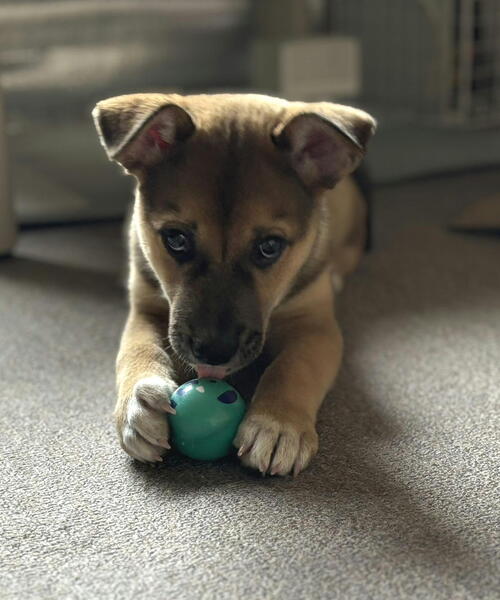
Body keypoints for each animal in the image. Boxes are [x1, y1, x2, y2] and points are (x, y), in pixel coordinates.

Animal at [92, 93, 376, 476]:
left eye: (270, 247)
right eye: (175, 239)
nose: (214, 352)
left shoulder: (315, 326)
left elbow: (294, 368)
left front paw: (277, 425)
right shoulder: (145, 305)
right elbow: (136, 348)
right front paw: (140, 402)